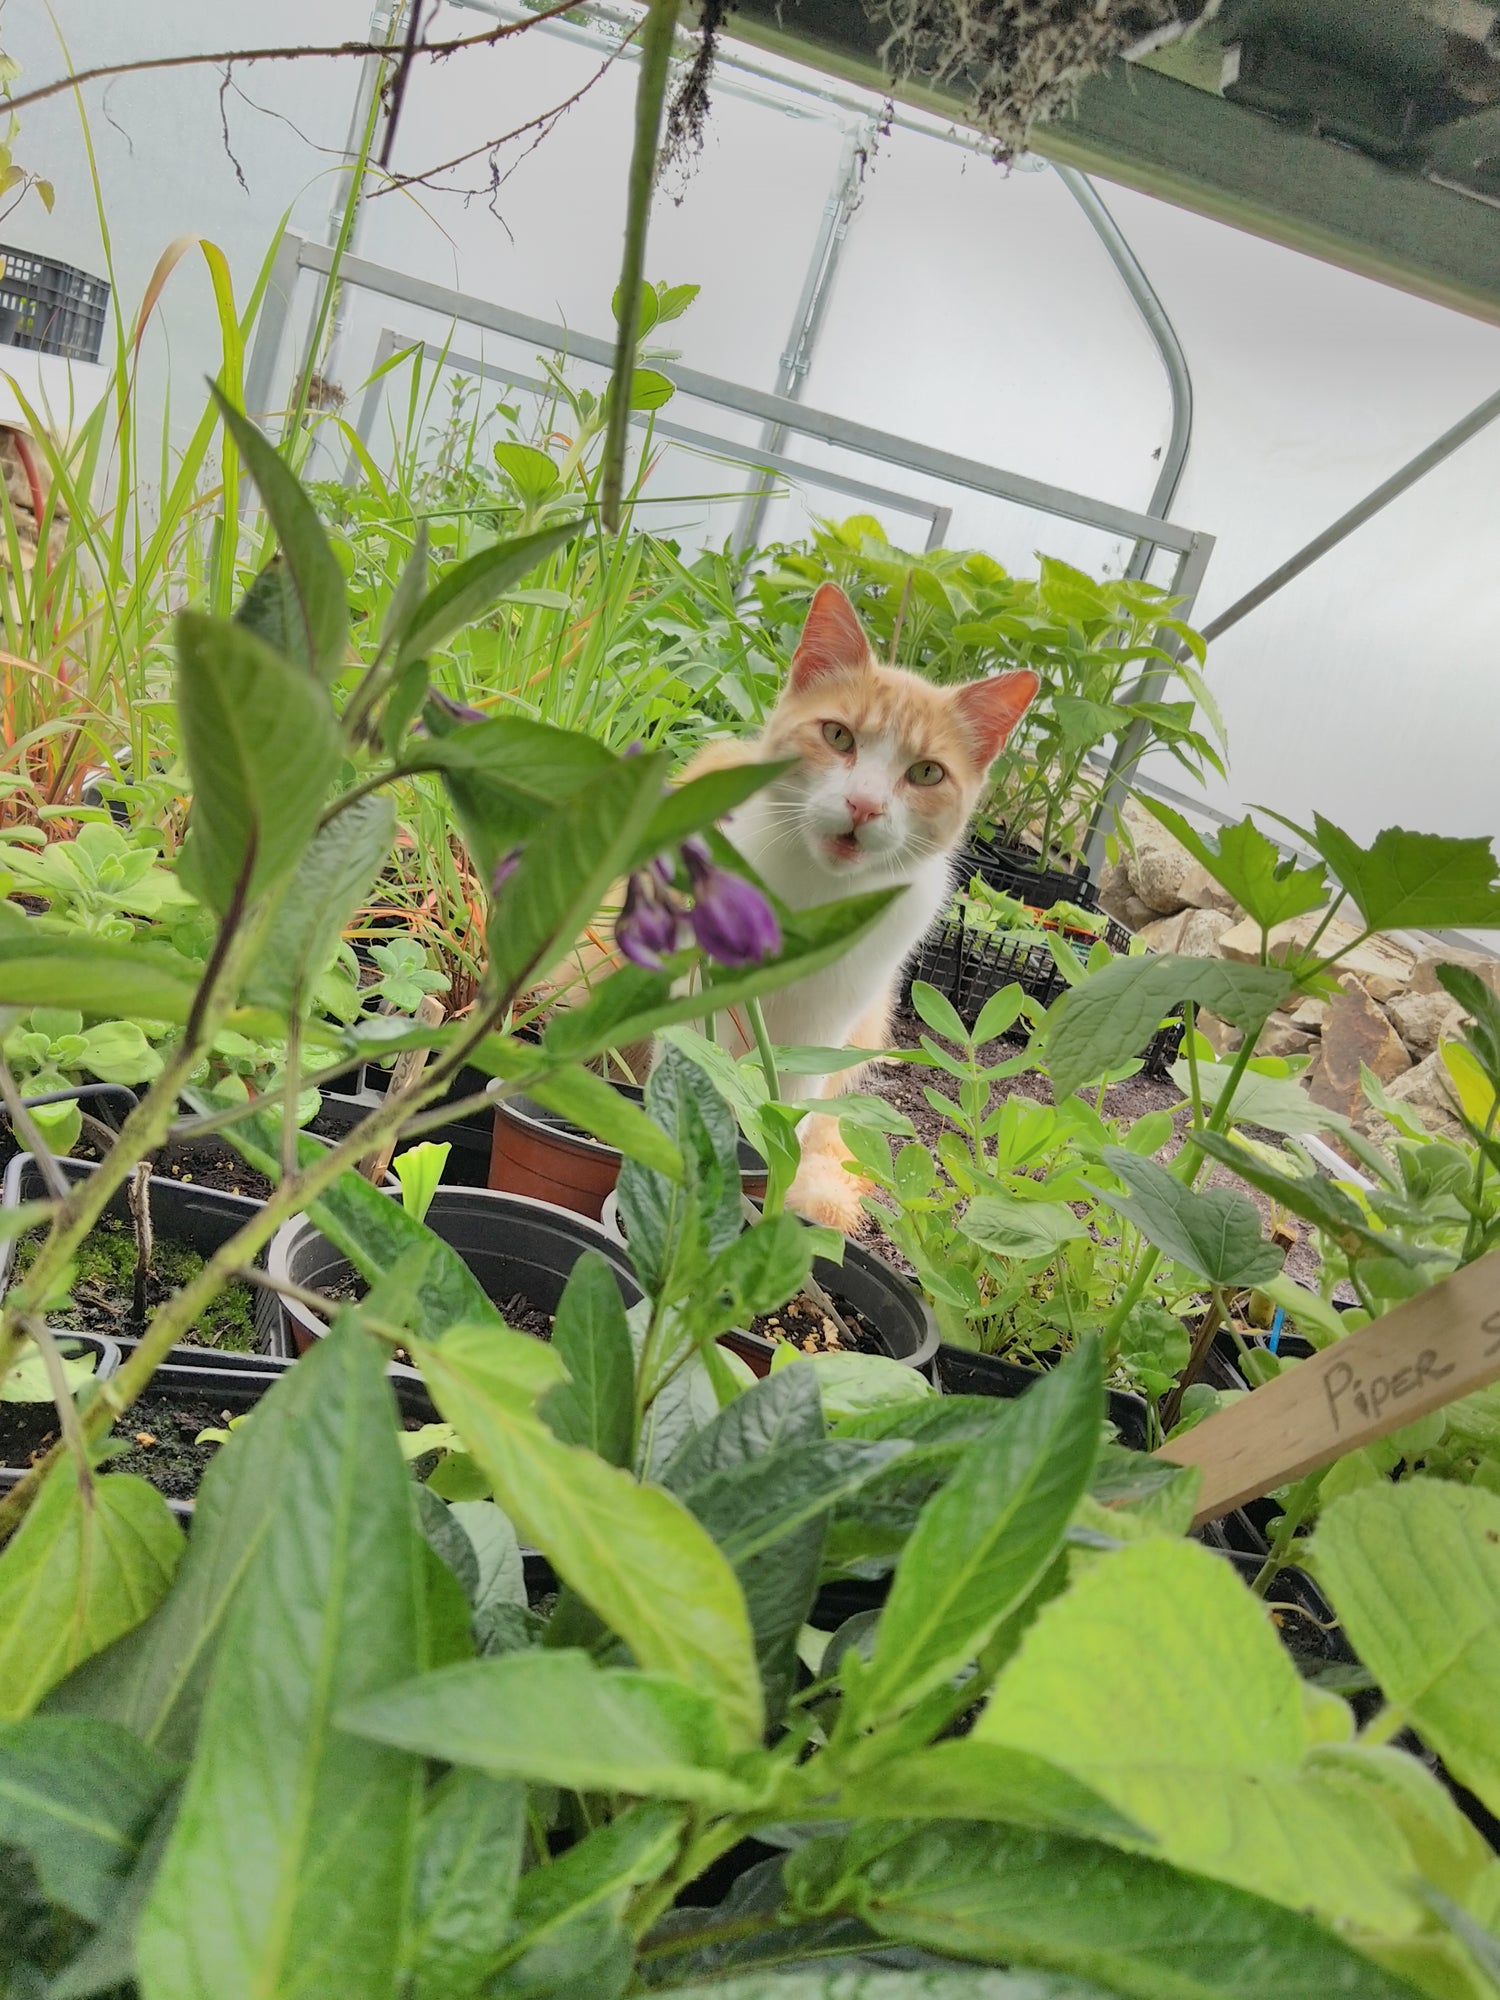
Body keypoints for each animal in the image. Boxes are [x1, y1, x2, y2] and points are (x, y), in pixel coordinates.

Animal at [679, 580, 1038, 1231]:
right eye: (838, 736)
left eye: (927, 773)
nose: (864, 805)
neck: (819, 894)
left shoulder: (821, 1031)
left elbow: (785, 1117)